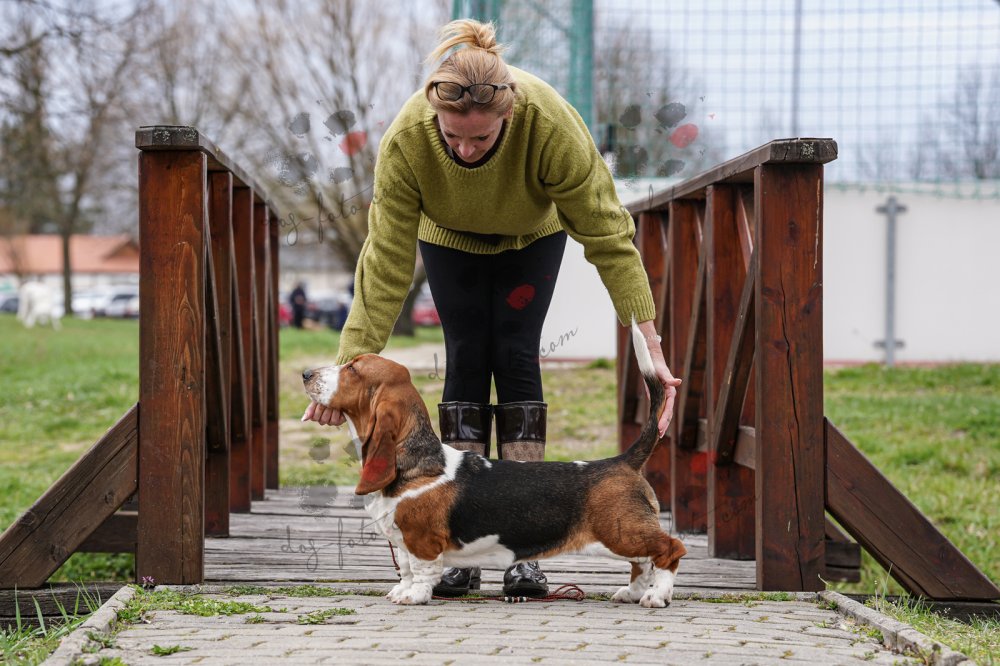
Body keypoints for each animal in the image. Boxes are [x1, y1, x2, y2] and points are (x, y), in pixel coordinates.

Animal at [302, 320, 686, 606]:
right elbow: (407, 568)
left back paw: (657, 596)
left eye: (353, 369)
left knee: (669, 549)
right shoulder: (403, 541)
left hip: (620, 531)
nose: (306, 374)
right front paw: (402, 590)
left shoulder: (421, 539)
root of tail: (622, 461)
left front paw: (414, 596)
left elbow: (422, 570)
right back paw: (633, 592)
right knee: (642, 564)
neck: (418, 462)